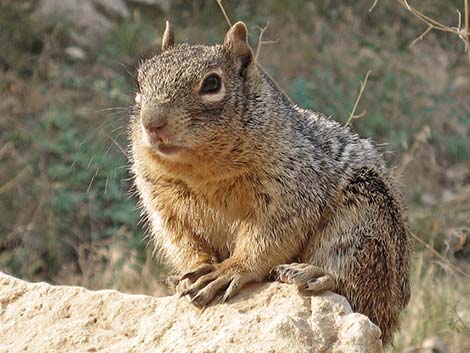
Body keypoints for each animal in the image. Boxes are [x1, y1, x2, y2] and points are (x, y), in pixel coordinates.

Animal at [129, 20, 412, 344]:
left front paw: (227, 271)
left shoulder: (291, 190)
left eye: (212, 84)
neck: (202, 173)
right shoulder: (164, 206)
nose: (152, 123)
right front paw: (193, 271)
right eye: (139, 82)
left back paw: (313, 273)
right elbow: (182, 243)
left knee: (356, 289)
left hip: (362, 221)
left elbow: (267, 240)